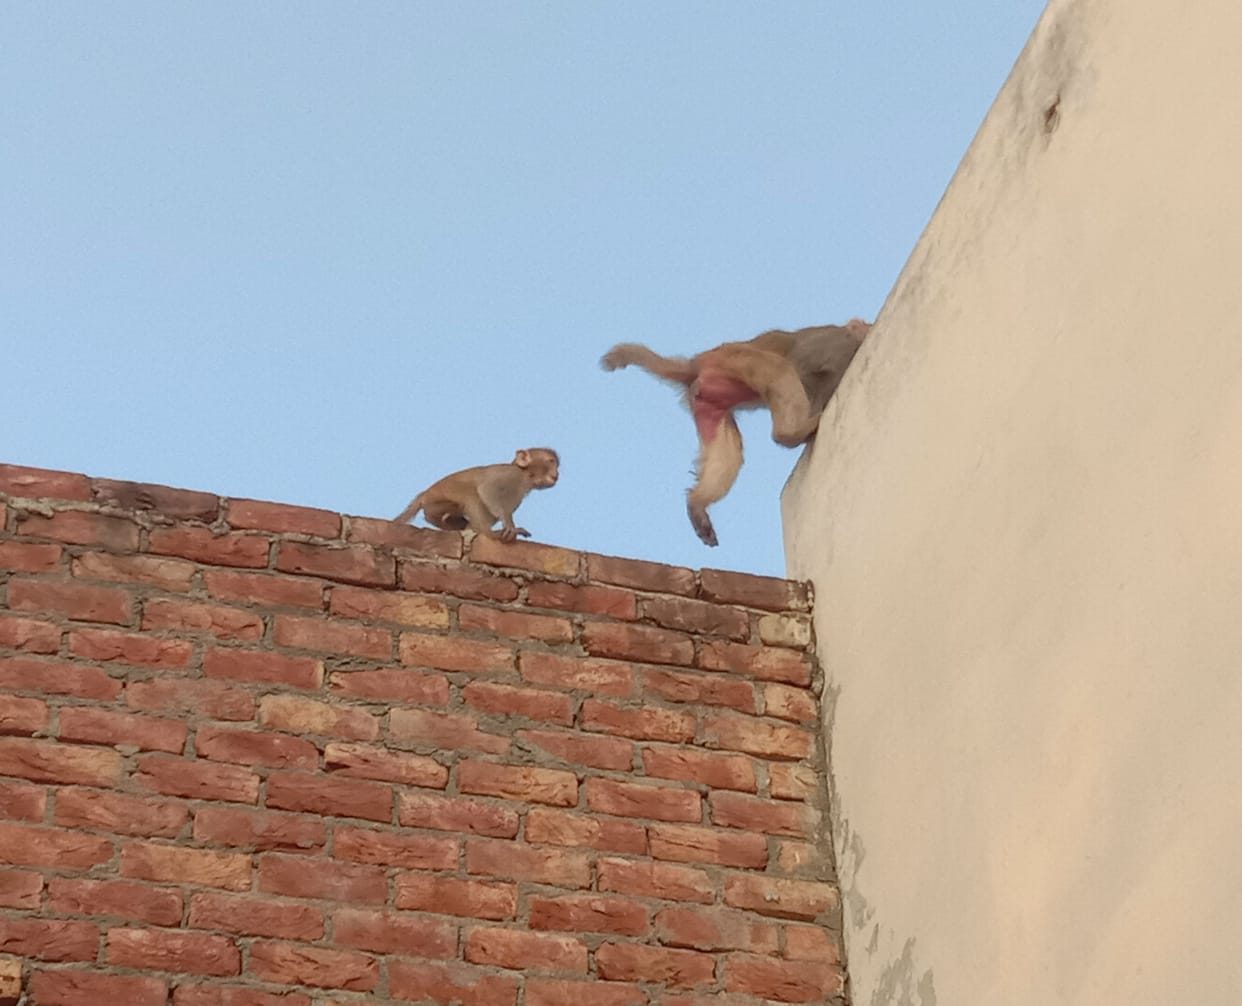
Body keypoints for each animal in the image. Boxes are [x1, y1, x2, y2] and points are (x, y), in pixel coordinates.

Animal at [395, 448, 560, 543]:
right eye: (551, 461)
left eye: (557, 464)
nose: (557, 473)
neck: (525, 476)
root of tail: (424, 495)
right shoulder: (509, 475)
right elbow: (487, 489)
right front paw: (510, 527)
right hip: (436, 502)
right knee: (472, 495)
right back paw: (489, 533)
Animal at [601, 321, 869, 546]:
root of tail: (696, 363)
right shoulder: (833, 343)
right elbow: (805, 366)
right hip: (735, 358)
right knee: (778, 368)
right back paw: (790, 433)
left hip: (708, 400)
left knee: (727, 454)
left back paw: (696, 502)